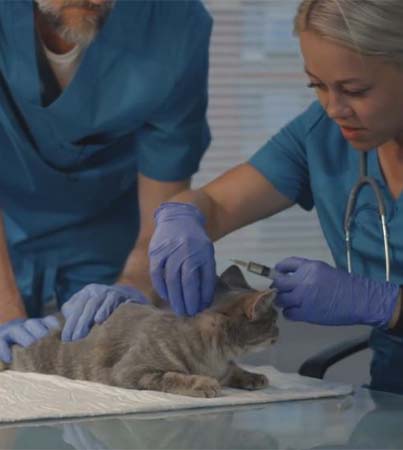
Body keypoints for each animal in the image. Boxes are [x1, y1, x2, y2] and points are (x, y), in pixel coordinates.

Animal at [0, 266, 278, 400]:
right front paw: (202, 383)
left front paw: (252, 376)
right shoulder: (131, 370)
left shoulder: (225, 366)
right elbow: (173, 377)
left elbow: (234, 370)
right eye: (274, 319)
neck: (216, 358)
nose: (279, 330)